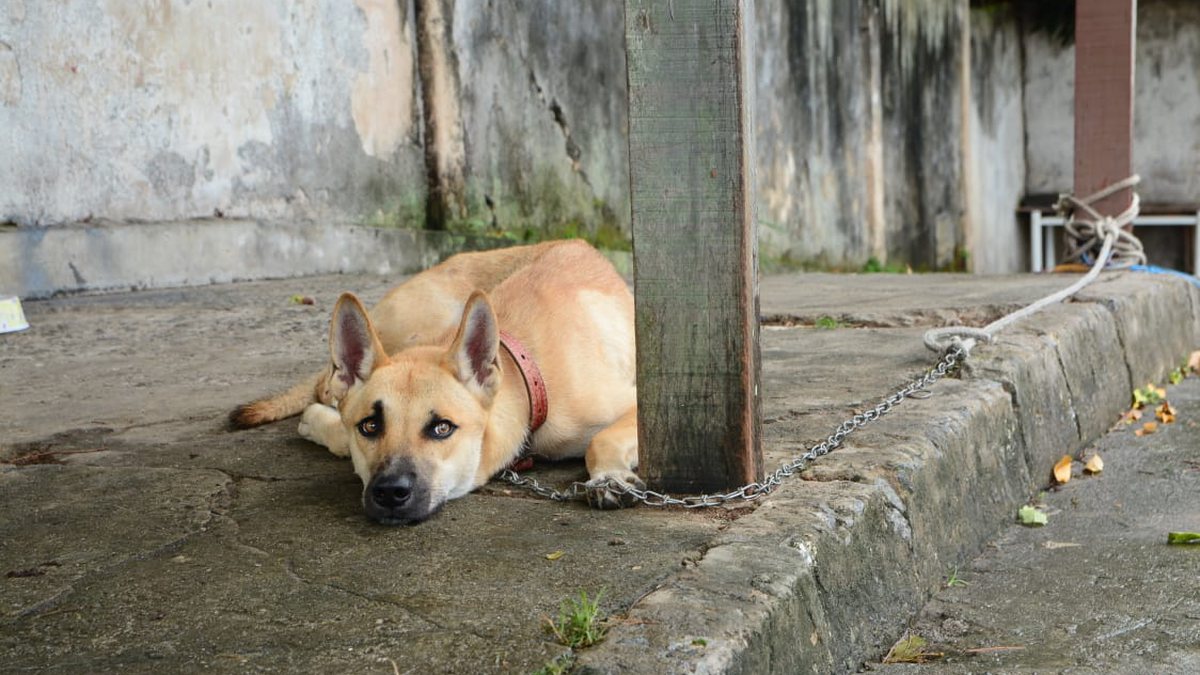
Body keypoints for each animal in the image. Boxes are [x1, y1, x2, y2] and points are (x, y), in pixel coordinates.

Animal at [235, 239, 648, 523]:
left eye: (442, 428)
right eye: (370, 426)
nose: (390, 493)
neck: (525, 370)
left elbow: (599, 439)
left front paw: (608, 479)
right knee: (324, 389)